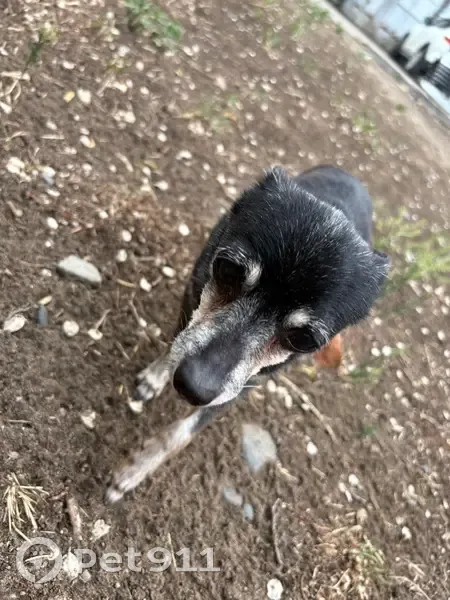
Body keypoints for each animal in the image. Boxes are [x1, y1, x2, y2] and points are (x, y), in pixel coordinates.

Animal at [106, 165, 389, 502]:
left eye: (303, 339)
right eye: (228, 269)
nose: (194, 386)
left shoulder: (243, 383)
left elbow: (184, 430)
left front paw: (136, 469)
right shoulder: (193, 294)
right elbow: (176, 342)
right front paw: (156, 376)